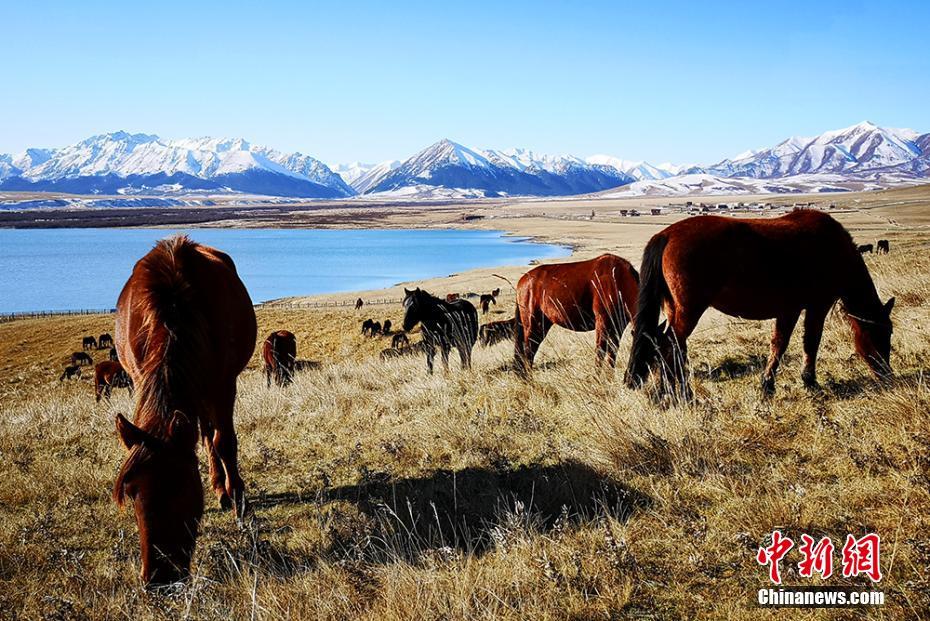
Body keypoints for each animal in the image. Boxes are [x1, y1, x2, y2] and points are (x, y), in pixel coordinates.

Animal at [111, 234, 256, 588]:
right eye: (131, 493)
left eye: (181, 488)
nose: (159, 579)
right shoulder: (141, 379)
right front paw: (224, 490)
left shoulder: (223, 384)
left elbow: (225, 442)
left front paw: (239, 500)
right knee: (203, 433)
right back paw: (218, 485)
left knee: (211, 434)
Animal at [624, 211, 892, 398]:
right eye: (881, 334)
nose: (887, 375)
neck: (834, 250)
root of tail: (667, 235)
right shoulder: (817, 306)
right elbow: (810, 342)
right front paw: (809, 381)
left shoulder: (789, 309)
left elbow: (779, 344)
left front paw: (768, 385)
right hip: (689, 311)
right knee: (669, 344)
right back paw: (673, 392)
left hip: (674, 309)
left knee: (668, 344)